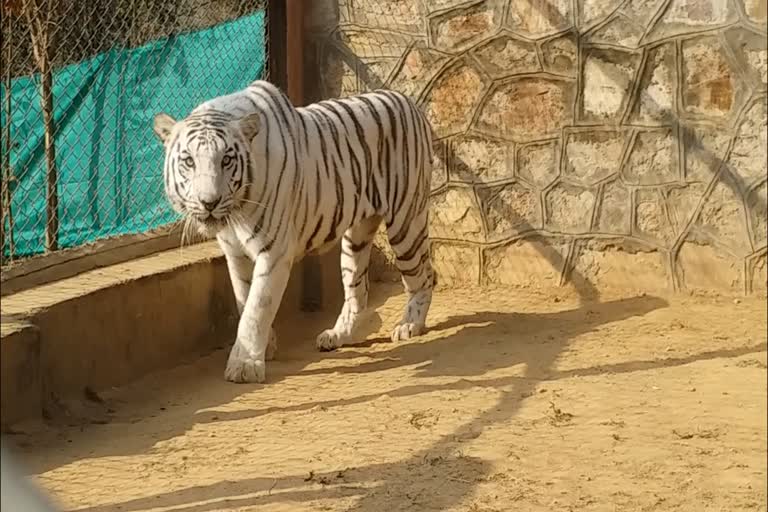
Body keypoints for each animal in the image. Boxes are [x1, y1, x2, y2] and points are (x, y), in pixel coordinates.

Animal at [153, 80, 436, 382]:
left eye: (226, 160)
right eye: (189, 161)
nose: (210, 202)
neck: (236, 212)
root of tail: (407, 100)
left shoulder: (274, 251)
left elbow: (257, 307)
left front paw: (245, 365)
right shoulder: (235, 254)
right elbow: (244, 299)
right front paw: (265, 347)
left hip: (406, 223)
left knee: (424, 276)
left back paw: (410, 325)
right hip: (356, 239)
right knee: (357, 288)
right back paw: (338, 335)